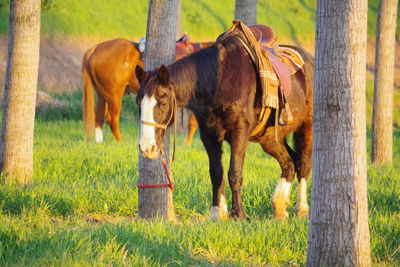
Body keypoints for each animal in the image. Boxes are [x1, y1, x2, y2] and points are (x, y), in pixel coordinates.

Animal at [81, 37, 212, 144]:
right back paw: (121, 142)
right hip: (114, 95)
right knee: (112, 119)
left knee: (99, 118)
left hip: (102, 94)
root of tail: (94, 49)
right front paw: (187, 145)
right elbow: (193, 124)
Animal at [136, 26, 314, 221]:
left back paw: (301, 208)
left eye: (162, 102)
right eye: (139, 103)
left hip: (307, 127)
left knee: (302, 164)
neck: (218, 79)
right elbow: (216, 173)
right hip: (270, 138)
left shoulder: (239, 131)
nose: (146, 147)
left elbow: (234, 173)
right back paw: (280, 206)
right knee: (289, 163)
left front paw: (239, 214)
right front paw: (217, 212)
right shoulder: (208, 135)